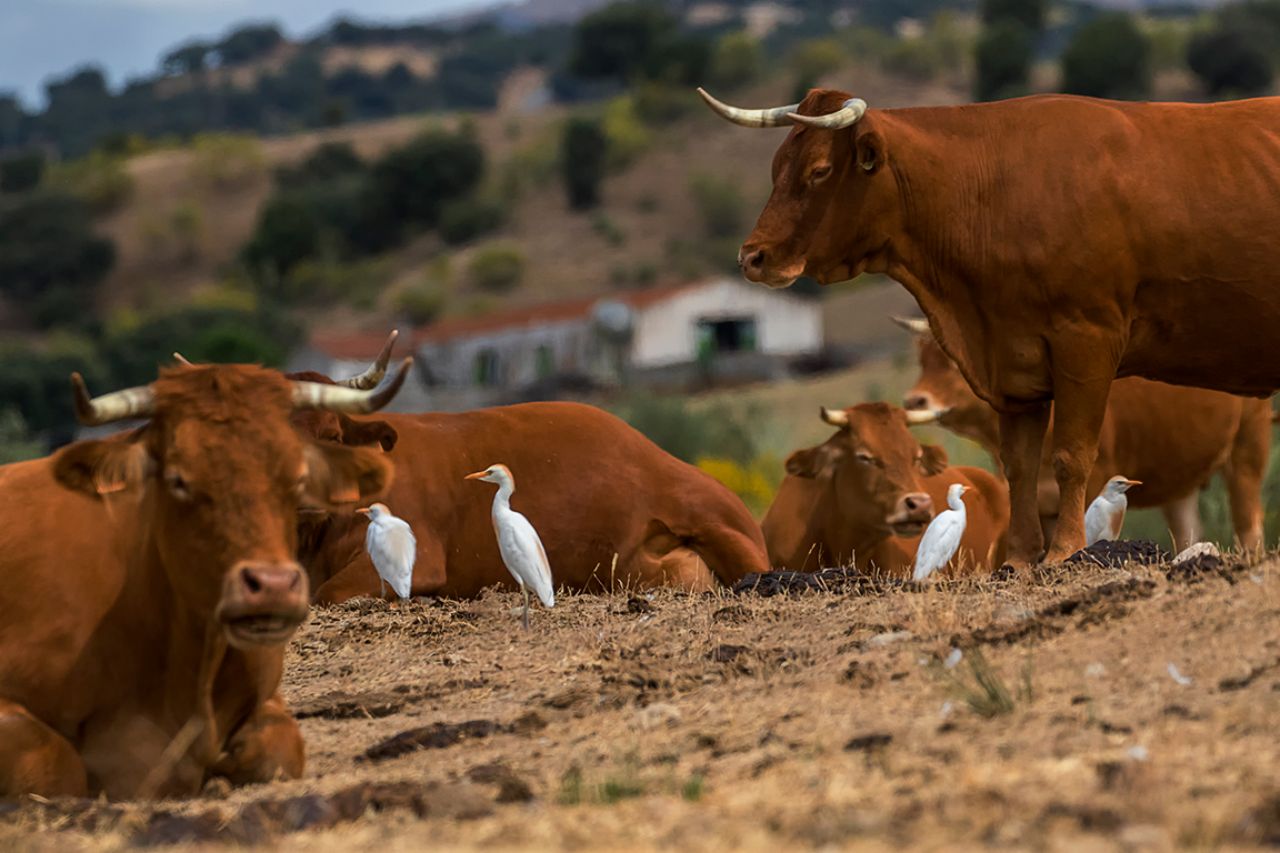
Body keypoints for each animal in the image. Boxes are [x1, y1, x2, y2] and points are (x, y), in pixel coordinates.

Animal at [893, 316, 1271, 551]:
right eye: (923, 360)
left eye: (954, 362)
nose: (914, 399)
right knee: (1187, 530)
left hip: (1248, 447)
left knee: (1249, 525)